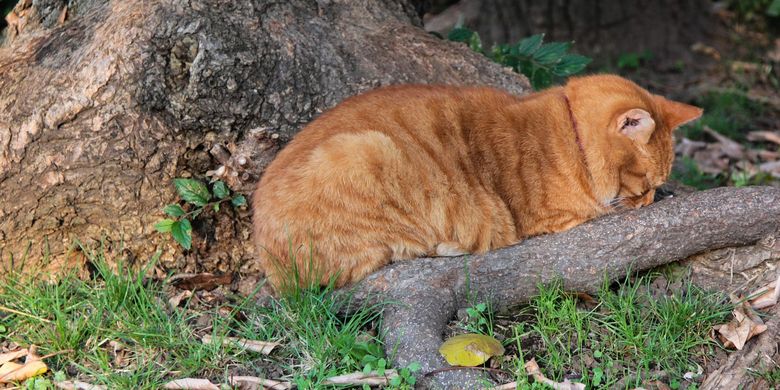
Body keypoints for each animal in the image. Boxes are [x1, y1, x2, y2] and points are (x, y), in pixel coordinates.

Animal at [253, 75, 704, 290]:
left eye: (654, 184)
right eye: (643, 182)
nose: (649, 201)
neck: (568, 129)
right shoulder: (559, 219)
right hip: (363, 150)